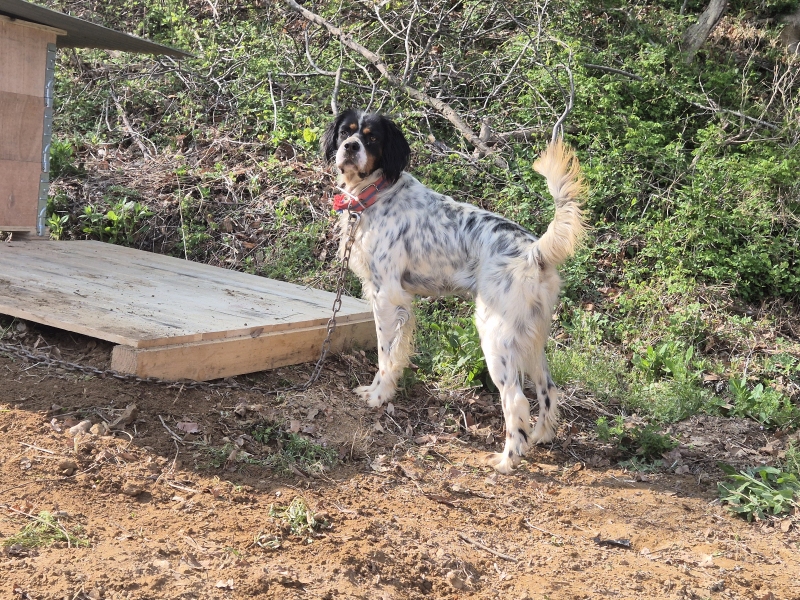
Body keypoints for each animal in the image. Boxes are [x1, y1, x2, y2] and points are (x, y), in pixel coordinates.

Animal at [321, 109, 586, 473]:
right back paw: (542, 436)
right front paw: (382, 392)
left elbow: (385, 355)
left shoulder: (387, 296)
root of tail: (534, 252)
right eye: (346, 132)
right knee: (548, 388)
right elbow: (398, 354)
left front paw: (378, 398)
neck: (377, 192)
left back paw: (507, 459)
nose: (350, 147)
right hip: (530, 340)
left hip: (495, 336)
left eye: (371, 137)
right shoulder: (402, 304)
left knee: (516, 400)